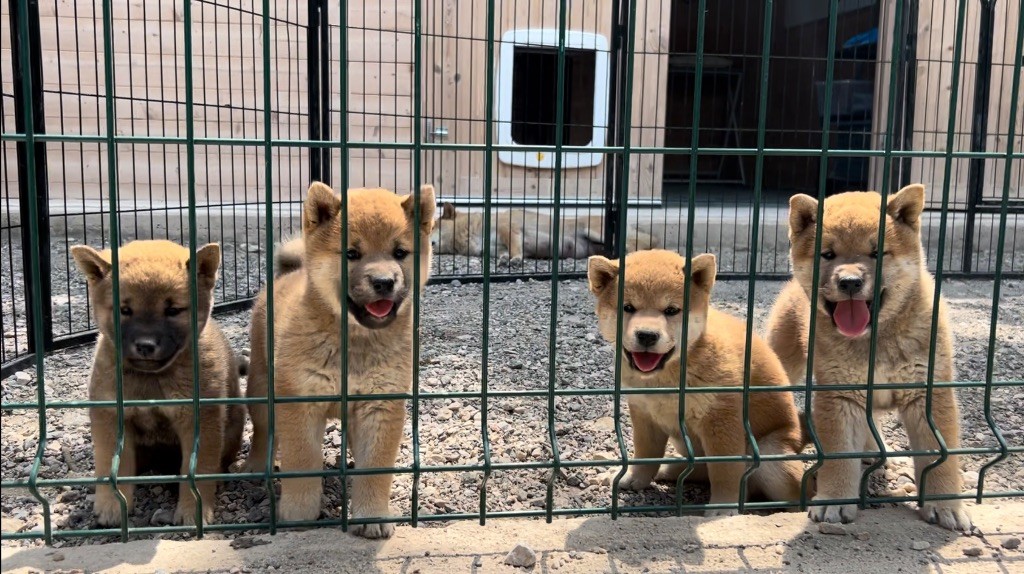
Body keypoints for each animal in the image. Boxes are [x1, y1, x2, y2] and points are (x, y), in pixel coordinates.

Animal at [243, 182, 436, 536]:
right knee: (263, 432)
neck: (354, 344)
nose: (384, 282)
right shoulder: (300, 403)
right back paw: (254, 467)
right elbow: (302, 464)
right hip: (262, 391)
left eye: (400, 253)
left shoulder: (379, 405)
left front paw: (372, 516)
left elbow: (375, 467)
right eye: (351, 254)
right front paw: (299, 515)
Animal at [430, 204, 655, 266]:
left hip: (596, 231)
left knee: (641, 244)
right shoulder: (496, 247)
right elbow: (504, 253)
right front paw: (505, 260)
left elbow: (516, 249)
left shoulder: (510, 230)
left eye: (432, 225)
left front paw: (516, 260)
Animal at [589, 248, 802, 511]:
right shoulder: (644, 413)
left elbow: (724, 470)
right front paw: (635, 478)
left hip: (771, 455)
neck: (665, 380)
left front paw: (722, 508)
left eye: (671, 310)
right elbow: (645, 454)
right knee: (697, 468)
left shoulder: (722, 419)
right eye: (628, 307)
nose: (647, 335)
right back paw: (668, 470)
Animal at [765, 184, 970, 532]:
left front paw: (945, 505)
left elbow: (939, 458)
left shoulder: (928, 394)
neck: (875, 340)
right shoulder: (840, 396)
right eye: (828, 254)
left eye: (877, 253)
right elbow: (839, 456)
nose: (850, 282)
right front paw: (834, 501)